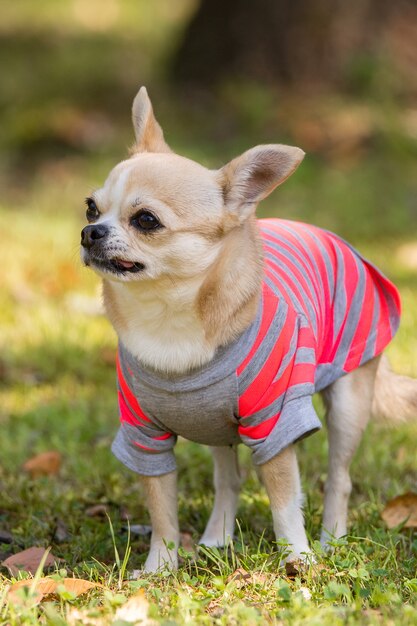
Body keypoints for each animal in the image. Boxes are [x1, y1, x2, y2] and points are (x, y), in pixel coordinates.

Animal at [81, 88, 416, 572]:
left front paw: (297, 559)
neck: (169, 315)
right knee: (229, 479)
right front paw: (159, 566)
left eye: (146, 220)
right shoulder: (145, 436)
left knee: (339, 477)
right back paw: (216, 538)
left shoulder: (276, 426)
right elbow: (162, 507)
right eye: (91, 207)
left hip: (349, 402)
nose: (90, 231)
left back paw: (332, 540)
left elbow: (284, 502)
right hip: (213, 423)